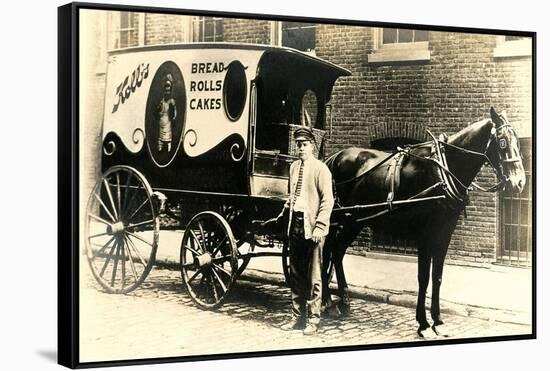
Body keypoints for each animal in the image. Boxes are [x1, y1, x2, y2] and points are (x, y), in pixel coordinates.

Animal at [326, 108, 528, 338]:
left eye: (518, 141)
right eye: (502, 142)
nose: (519, 182)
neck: (444, 171)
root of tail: (333, 158)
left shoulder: (445, 231)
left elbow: (437, 275)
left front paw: (438, 320)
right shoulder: (425, 232)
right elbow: (423, 277)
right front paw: (422, 323)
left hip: (353, 220)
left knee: (336, 252)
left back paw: (341, 300)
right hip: (340, 219)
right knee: (328, 250)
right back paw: (328, 301)